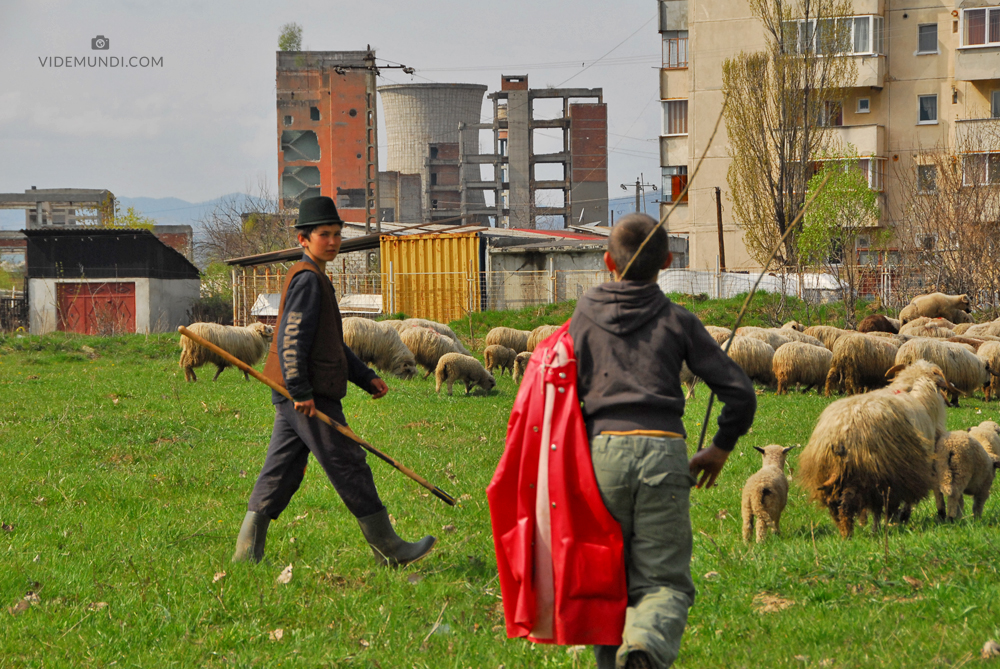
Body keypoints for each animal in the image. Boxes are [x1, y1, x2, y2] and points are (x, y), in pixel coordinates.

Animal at [800, 360, 956, 536]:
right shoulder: (915, 464)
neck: (914, 384)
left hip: (830, 473)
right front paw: (905, 516)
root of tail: (842, 432)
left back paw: (846, 530)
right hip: (875, 471)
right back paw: (863, 531)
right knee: (866, 503)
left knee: (837, 504)